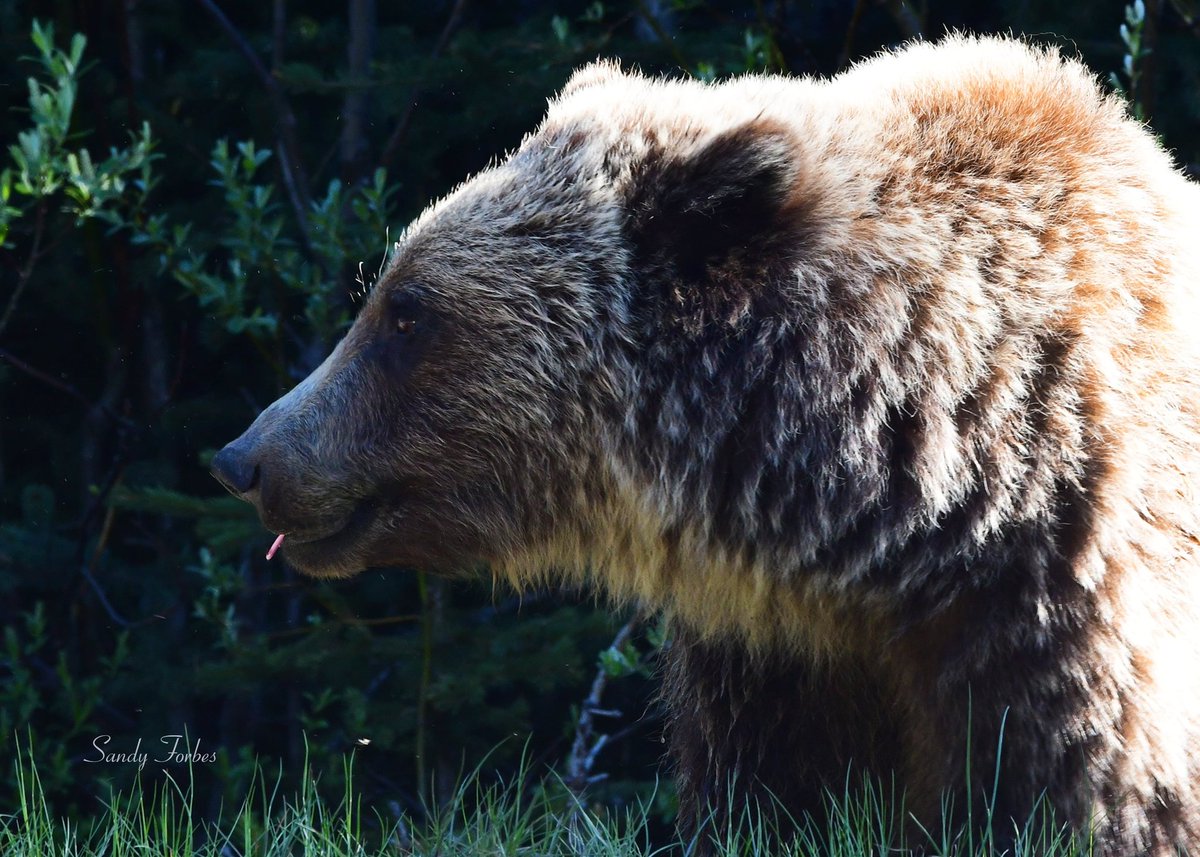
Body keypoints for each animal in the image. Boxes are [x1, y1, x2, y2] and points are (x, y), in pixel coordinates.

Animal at [211, 35, 1200, 856]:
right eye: (388, 294)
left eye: (407, 312)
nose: (244, 456)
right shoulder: (776, 655)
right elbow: (769, 797)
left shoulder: (1056, 613)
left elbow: (1081, 790)